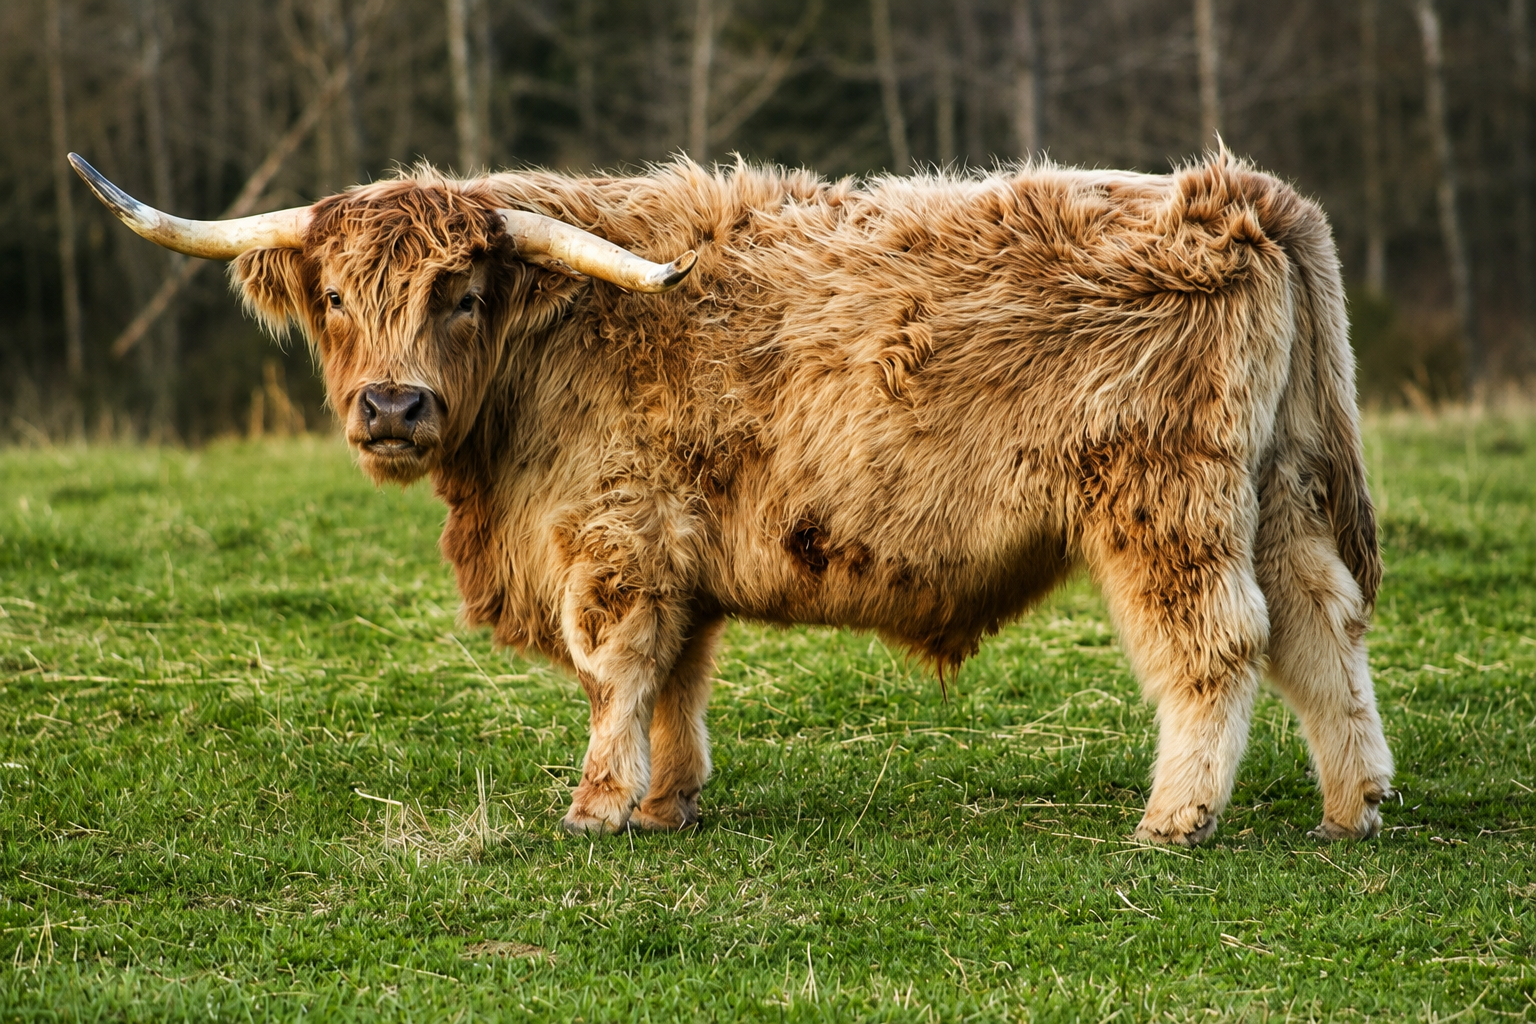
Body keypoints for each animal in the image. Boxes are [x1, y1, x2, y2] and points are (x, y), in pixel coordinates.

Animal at [71, 151, 1394, 846]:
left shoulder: (614, 537)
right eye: (339, 296)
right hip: (1276, 491)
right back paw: (1354, 804)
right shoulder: (676, 552)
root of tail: (1234, 193)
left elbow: (616, 667)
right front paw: (671, 801)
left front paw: (599, 806)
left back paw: (1177, 818)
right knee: (1321, 627)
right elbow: (678, 678)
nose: (392, 407)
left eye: (462, 290)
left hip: (1164, 505)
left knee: (1218, 644)